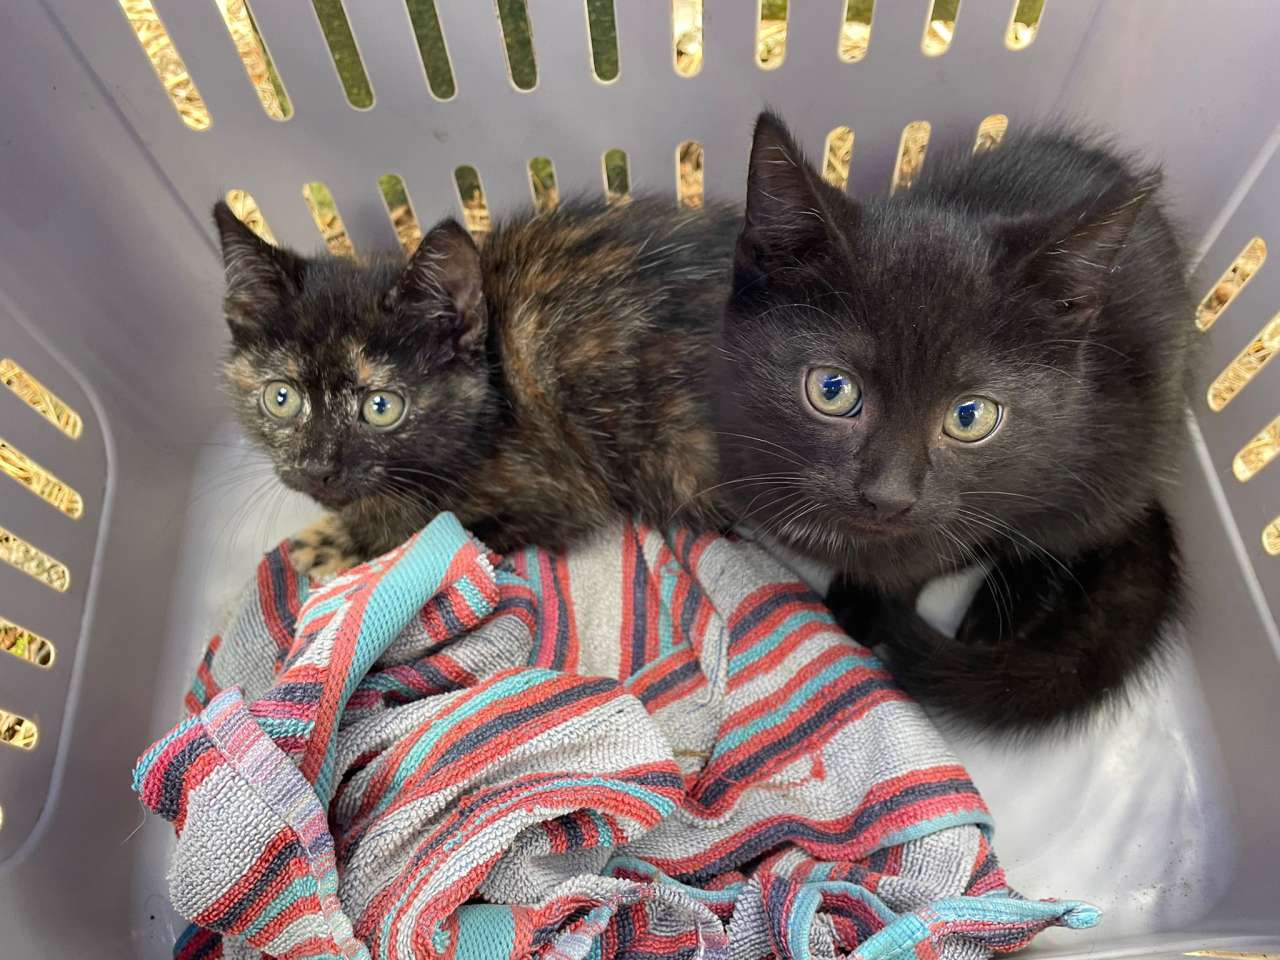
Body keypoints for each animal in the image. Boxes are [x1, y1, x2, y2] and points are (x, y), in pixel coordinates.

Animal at [213, 196, 738, 565]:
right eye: (281, 398)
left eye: (381, 407)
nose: (317, 467)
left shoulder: (544, 501)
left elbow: (404, 535)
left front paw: (323, 546)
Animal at [712, 112, 1198, 734]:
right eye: (831, 390)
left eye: (970, 417)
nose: (888, 496)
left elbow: (943, 552)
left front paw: (866, 608)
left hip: (1130, 457)